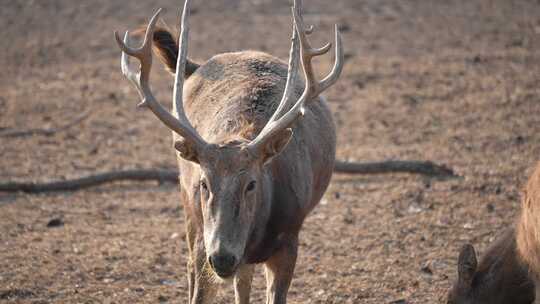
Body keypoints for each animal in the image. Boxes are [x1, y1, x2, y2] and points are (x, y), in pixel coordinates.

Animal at [113, 0, 342, 304]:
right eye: (204, 184)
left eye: (251, 184)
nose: (222, 257)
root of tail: (195, 65)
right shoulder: (204, 239)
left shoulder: (290, 236)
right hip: (189, 210)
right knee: (195, 267)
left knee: (243, 280)